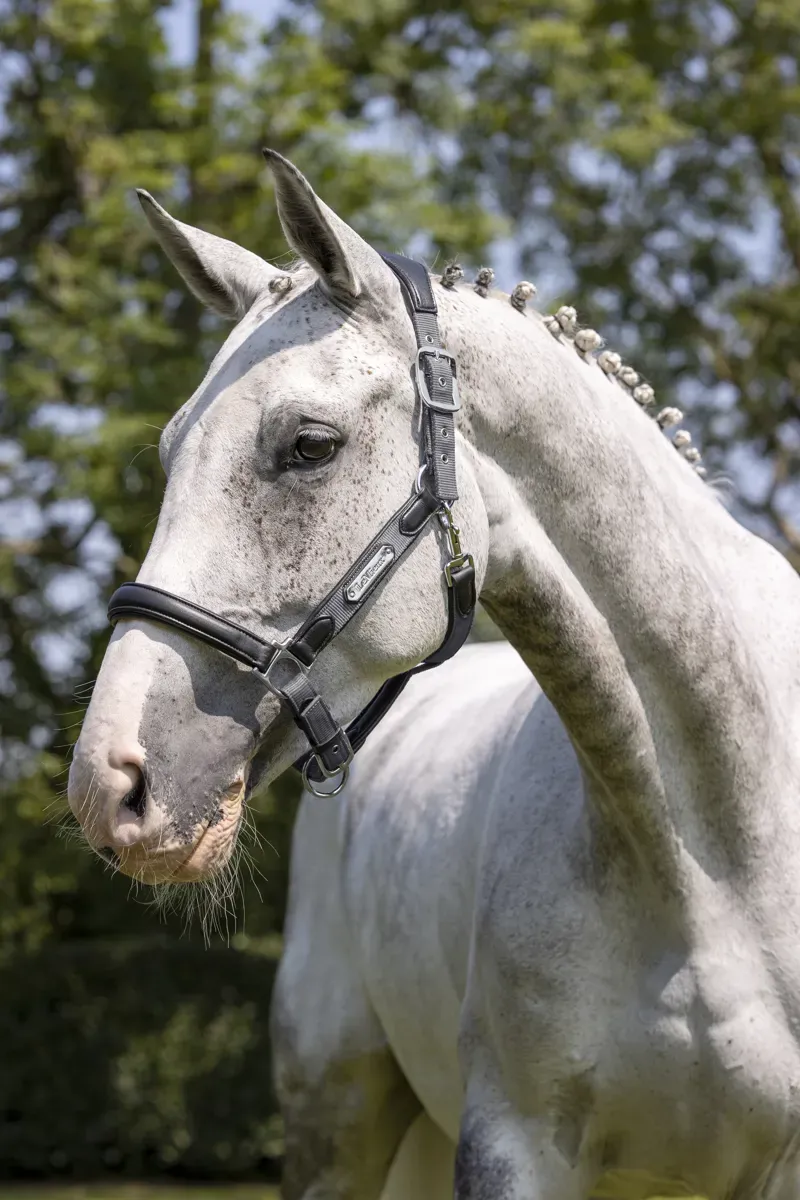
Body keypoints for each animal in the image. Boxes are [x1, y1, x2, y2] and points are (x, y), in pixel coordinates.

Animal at [68, 151, 800, 1199]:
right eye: (170, 454)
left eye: (310, 444)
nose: (111, 782)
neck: (712, 856)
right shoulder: (511, 1147)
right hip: (338, 1121)